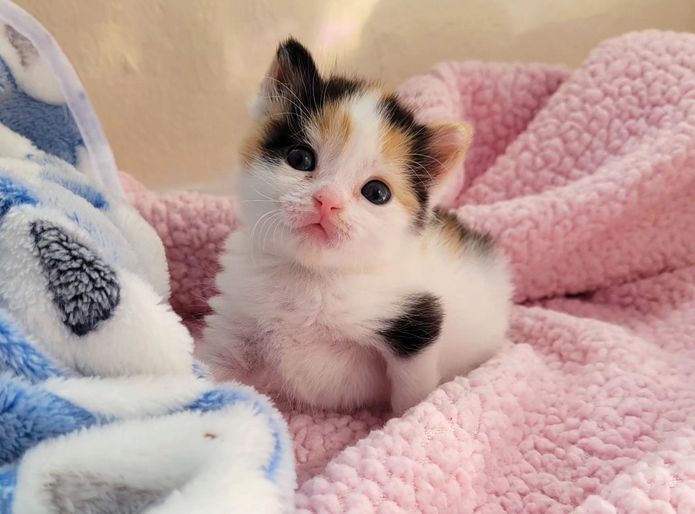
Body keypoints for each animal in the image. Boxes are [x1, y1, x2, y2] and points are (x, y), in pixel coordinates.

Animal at [201, 38, 512, 412]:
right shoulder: (235, 316)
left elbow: (412, 389)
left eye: (376, 193)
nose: (327, 201)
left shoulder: (416, 323)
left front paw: (405, 419)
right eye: (300, 158)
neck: (311, 277)